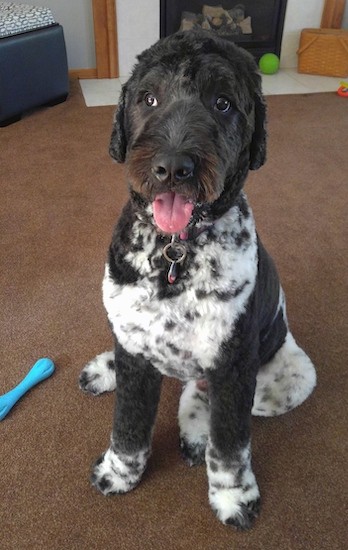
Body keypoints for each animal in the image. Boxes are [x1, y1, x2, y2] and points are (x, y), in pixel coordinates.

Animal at [79, 30, 318, 532]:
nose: (173, 167)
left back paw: (193, 431)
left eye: (223, 103)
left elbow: (229, 444)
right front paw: (120, 471)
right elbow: (127, 424)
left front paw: (232, 497)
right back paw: (105, 370)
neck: (175, 251)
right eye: (148, 98)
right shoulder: (134, 350)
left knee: (202, 391)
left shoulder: (232, 369)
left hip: (283, 379)